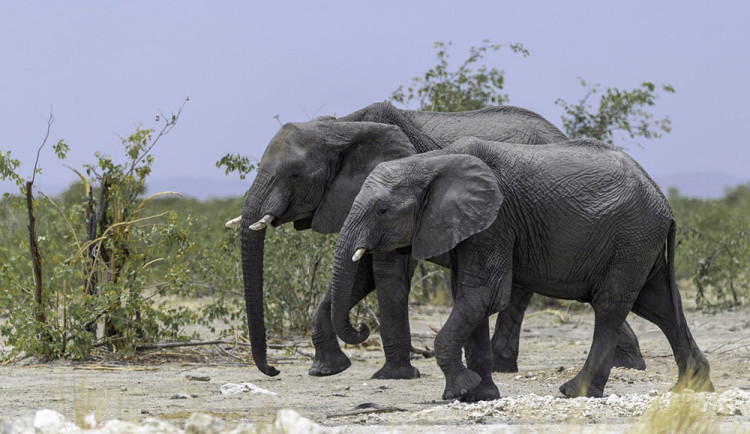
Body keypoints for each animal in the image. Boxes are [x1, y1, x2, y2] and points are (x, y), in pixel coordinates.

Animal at [236, 102, 648, 380]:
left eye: (294, 174)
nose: (273, 370)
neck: (342, 126)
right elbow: (360, 273)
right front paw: (327, 370)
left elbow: (386, 273)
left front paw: (394, 376)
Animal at [330, 136, 716, 400]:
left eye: (382, 211)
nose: (362, 327)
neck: (430, 162)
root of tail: (664, 200)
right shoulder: (470, 228)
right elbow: (468, 298)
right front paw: (480, 395)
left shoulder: (495, 222)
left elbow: (482, 296)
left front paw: (460, 391)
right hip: (639, 242)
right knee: (659, 305)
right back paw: (693, 388)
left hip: (631, 238)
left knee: (611, 306)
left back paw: (574, 391)